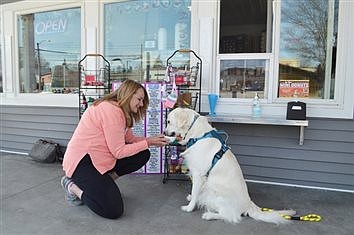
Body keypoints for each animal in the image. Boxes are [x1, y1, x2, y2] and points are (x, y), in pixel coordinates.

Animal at [165, 108, 294, 224]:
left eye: (169, 121)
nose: (165, 132)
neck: (195, 133)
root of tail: (249, 204)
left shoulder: (198, 174)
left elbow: (195, 190)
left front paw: (189, 207)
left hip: (216, 196)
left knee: (231, 216)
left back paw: (209, 215)